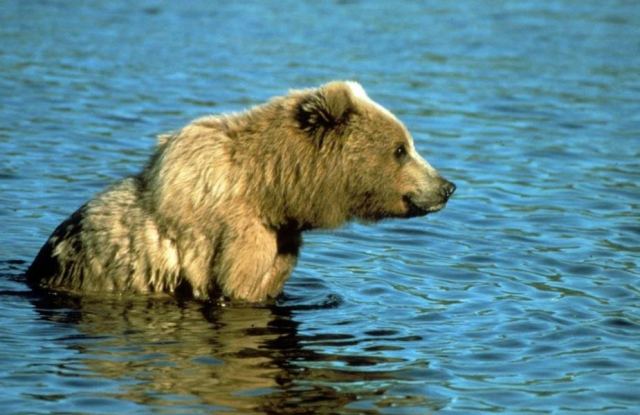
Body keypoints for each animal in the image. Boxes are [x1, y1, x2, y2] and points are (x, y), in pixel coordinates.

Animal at [25, 81, 456, 302]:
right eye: (400, 149)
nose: (446, 186)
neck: (271, 190)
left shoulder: (281, 239)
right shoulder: (236, 235)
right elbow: (238, 287)